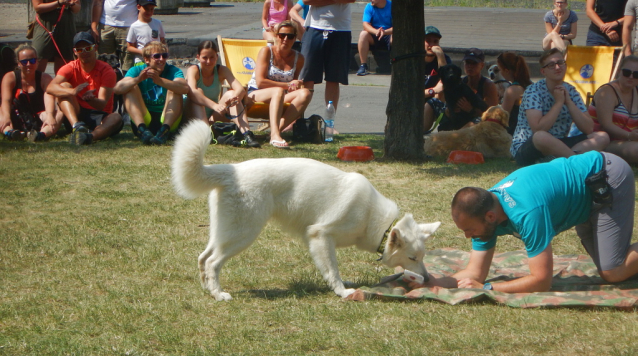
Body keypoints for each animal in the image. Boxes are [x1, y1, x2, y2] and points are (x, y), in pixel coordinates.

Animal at [172, 121, 442, 300]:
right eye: (412, 258)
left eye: (422, 257)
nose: (428, 279)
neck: (377, 222)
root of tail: (231, 170)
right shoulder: (320, 235)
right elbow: (332, 269)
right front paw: (343, 291)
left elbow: (333, 267)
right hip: (243, 234)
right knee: (213, 262)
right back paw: (219, 295)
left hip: (224, 232)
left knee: (203, 257)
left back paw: (208, 290)